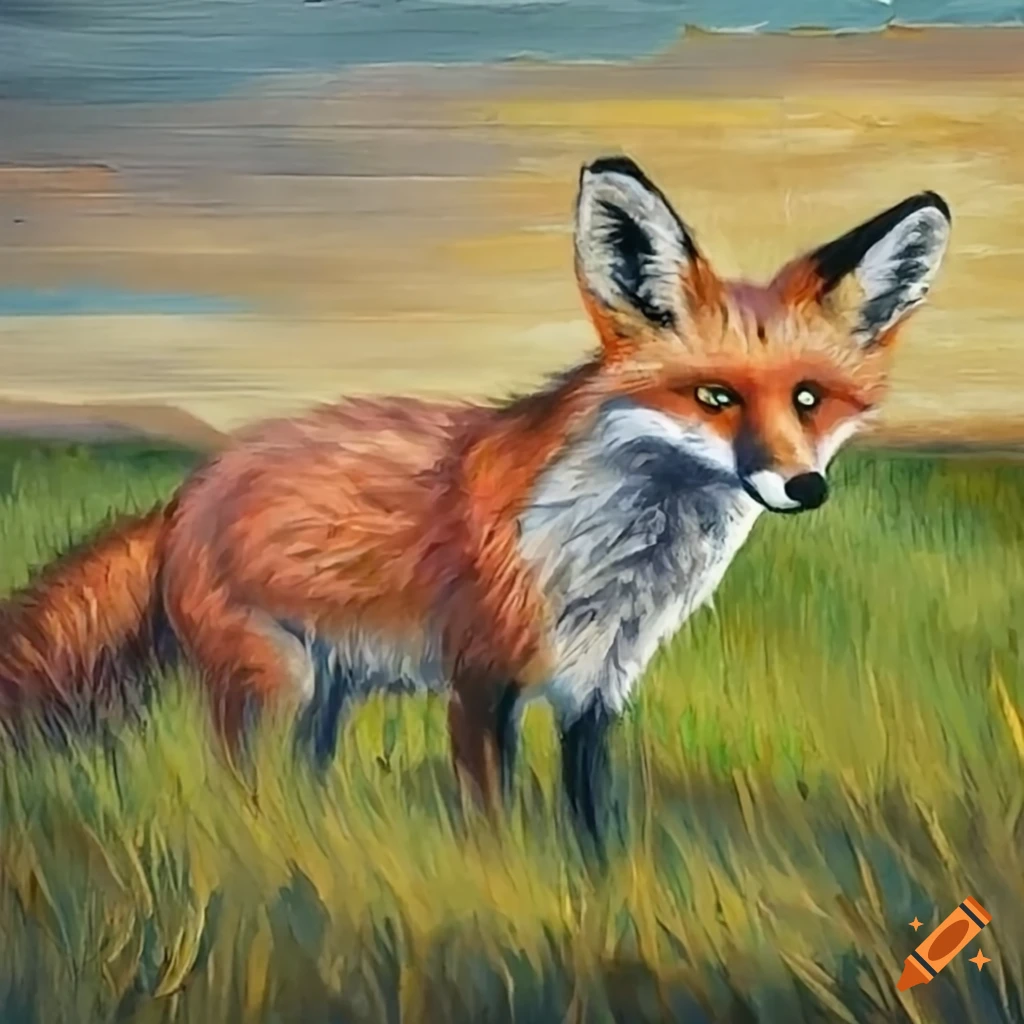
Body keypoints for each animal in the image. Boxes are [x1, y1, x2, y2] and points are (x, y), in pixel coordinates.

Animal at [0, 155, 951, 849]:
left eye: (809, 400)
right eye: (714, 398)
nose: (804, 486)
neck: (614, 567)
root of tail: (190, 490)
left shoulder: (596, 692)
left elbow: (590, 824)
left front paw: (594, 891)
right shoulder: (481, 680)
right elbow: (491, 823)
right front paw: (507, 887)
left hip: (325, 698)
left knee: (301, 782)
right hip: (274, 684)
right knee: (241, 788)